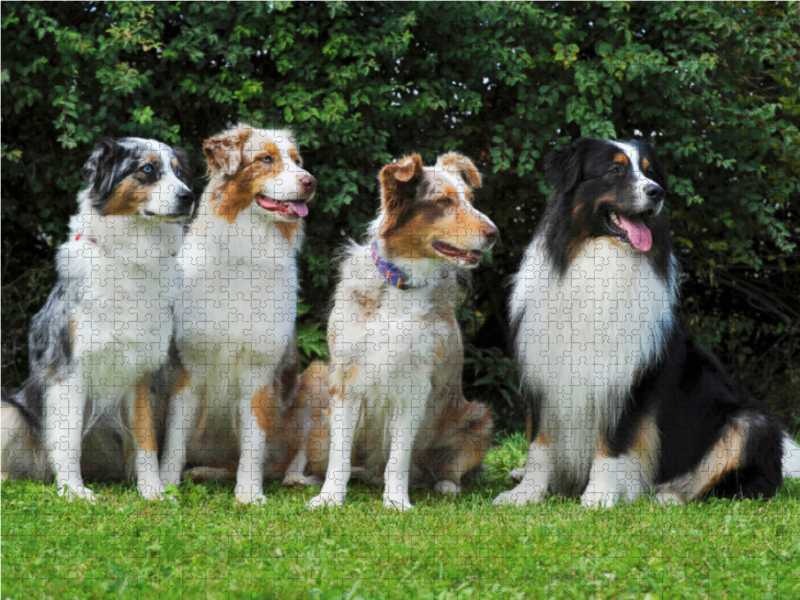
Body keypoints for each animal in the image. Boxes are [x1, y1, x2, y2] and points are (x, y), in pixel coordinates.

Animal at [2, 137, 196, 502]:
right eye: (147, 169)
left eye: (180, 173)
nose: (189, 196)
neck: (130, 257)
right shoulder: (69, 369)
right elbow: (68, 440)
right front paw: (74, 491)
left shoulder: (143, 370)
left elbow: (147, 439)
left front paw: (153, 491)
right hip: (9, 409)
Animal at [308, 152, 500, 508]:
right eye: (443, 201)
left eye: (468, 199)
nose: (494, 233)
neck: (402, 284)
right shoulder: (345, 380)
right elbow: (339, 455)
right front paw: (329, 498)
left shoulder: (415, 384)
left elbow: (399, 456)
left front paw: (396, 501)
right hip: (317, 429)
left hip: (477, 419)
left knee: (447, 468)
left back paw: (445, 486)